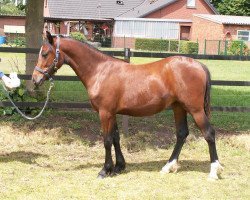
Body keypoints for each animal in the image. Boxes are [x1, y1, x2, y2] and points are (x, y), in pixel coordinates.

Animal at [32, 32, 223, 180]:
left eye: (45, 53)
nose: (35, 79)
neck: (100, 71)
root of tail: (198, 64)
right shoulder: (113, 113)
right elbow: (116, 138)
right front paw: (118, 167)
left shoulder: (105, 112)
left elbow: (107, 140)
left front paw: (105, 170)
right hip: (178, 107)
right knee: (182, 134)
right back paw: (167, 167)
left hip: (196, 110)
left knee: (209, 133)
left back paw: (214, 171)